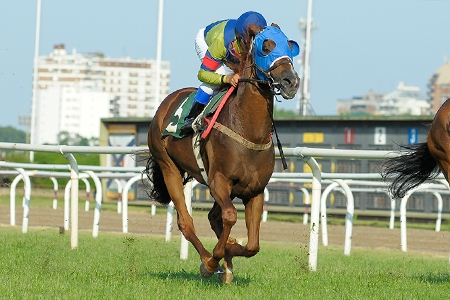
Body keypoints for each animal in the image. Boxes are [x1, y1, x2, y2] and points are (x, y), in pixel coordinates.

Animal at [144, 24, 298, 282]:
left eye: (290, 45)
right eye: (265, 47)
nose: (291, 81)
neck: (248, 130)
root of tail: (166, 103)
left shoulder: (255, 190)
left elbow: (253, 245)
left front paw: (230, 252)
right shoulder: (218, 181)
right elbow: (230, 217)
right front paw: (214, 259)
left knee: (213, 218)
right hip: (168, 167)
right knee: (186, 222)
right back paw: (209, 260)